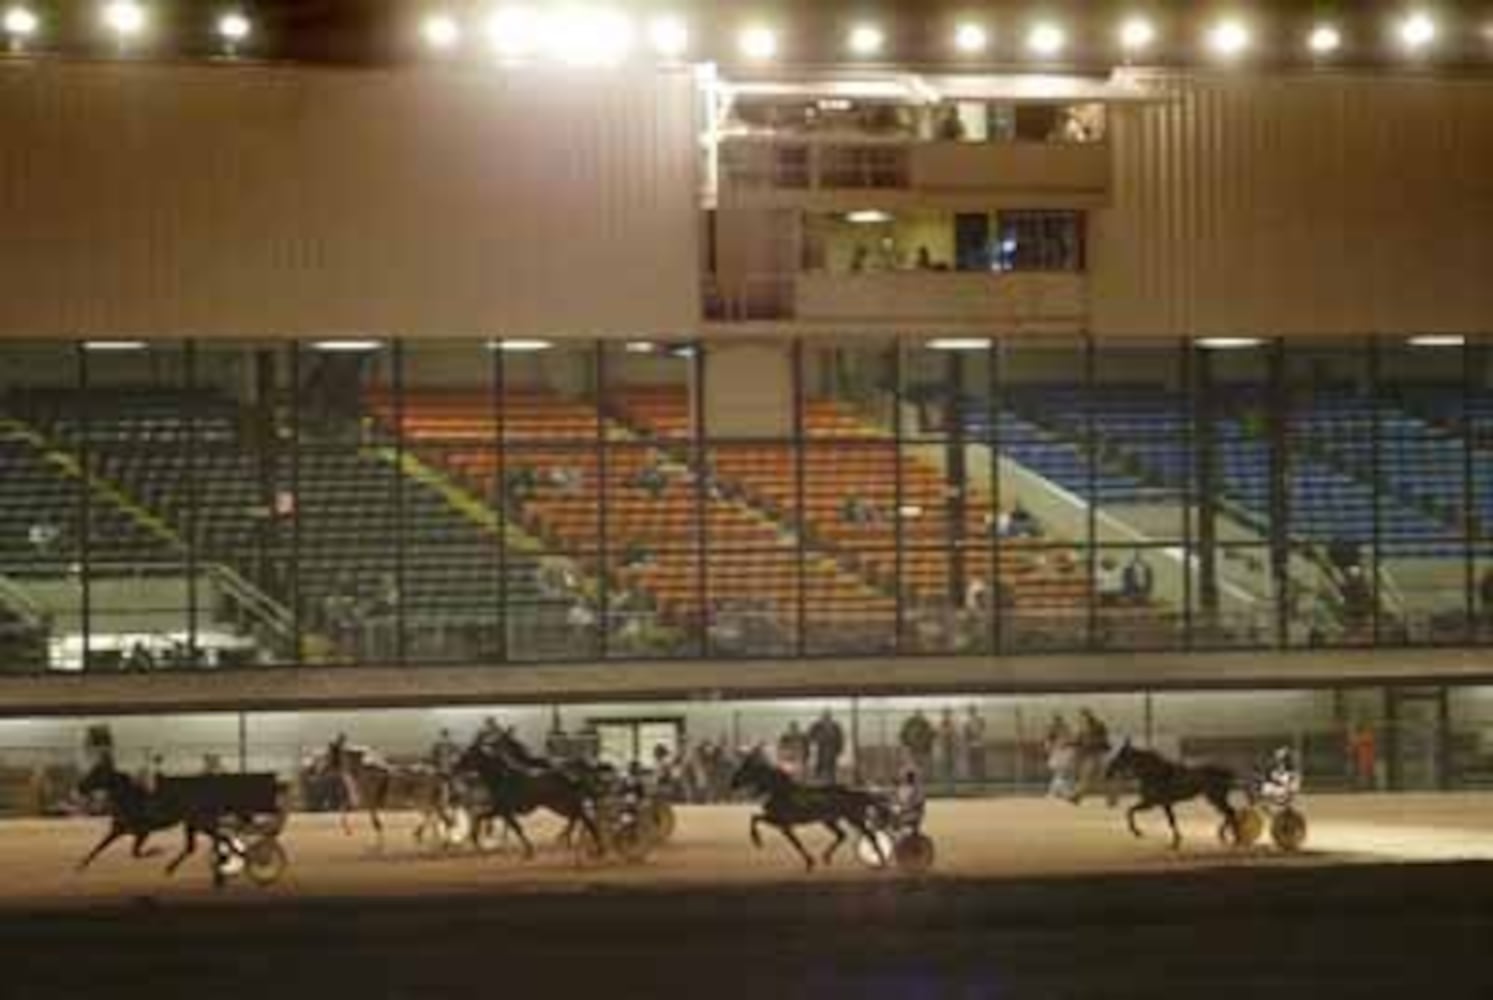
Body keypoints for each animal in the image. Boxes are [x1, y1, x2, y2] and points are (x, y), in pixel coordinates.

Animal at [74, 761, 231, 883]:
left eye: (96, 773)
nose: (80, 787)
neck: (131, 801)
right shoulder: (117, 831)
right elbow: (99, 847)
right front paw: (80, 866)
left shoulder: (143, 833)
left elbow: (136, 853)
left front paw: (157, 850)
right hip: (193, 824)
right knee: (196, 846)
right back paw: (170, 869)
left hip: (198, 824)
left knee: (216, 839)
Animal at [453, 743, 600, 859]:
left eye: (468, 756)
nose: (454, 767)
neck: (500, 778)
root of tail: (568, 777)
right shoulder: (500, 810)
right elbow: (481, 818)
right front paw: (475, 840)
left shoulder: (504, 810)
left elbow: (516, 828)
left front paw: (528, 851)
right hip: (557, 805)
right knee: (579, 816)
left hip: (559, 804)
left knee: (579, 816)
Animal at [731, 749, 883, 871]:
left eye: (745, 769)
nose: (733, 783)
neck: (780, 791)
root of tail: (854, 792)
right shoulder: (782, 824)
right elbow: (757, 818)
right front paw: (810, 862)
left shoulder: (782, 823)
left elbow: (793, 841)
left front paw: (757, 841)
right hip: (829, 820)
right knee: (842, 835)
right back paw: (826, 857)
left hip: (853, 818)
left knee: (870, 835)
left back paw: (881, 861)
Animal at [1104, 740, 1242, 847]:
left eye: (1119, 758)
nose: (1108, 773)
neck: (1153, 773)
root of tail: (1226, 772)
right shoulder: (1159, 803)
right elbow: (1168, 819)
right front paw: (1176, 840)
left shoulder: (1154, 802)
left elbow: (1132, 811)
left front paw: (1138, 832)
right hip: (1215, 797)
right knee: (1229, 812)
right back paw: (1226, 835)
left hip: (1215, 797)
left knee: (1230, 812)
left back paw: (1234, 837)